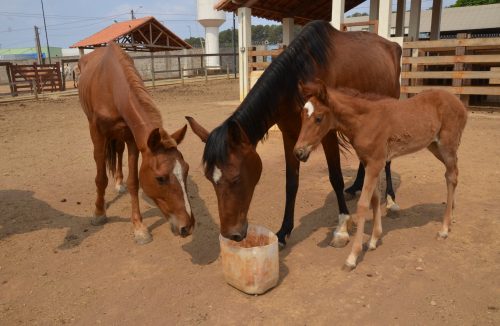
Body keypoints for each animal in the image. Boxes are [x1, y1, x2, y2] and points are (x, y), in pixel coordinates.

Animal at [79, 42, 194, 244]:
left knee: (118, 150)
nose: (187, 226)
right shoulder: (97, 133)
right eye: (160, 178)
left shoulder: (131, 137)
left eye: (186, 170)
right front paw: (99, 213)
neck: (111, 84)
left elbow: (134, 182)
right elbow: (100, 177)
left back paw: (119, 183)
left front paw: (139, 228)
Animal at [186, 21, 400, 247]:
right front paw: (283, 232)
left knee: (387, 159)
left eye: (235, 178)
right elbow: (291, 183)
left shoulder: (327, 135)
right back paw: (358, 187)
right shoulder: (290, 136)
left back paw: (391, 199)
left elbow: (336, 177)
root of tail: (392, 45)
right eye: (209, 179)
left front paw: (341, 227)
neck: (298, 78)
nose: (231, 234)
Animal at [294, 80, 466, 268]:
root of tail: (459, 103)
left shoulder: (375, 164)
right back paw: (451, 213)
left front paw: (353, 256)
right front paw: (373, 240)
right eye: (301, 116)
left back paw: (444, 229)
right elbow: (375, 199)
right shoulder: (369, 164)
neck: (365, 121)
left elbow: (363, 204)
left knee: (451, 176)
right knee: (453, 174)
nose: (298, 152)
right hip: (434, 146)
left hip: (447, 146)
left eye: (318, 118)